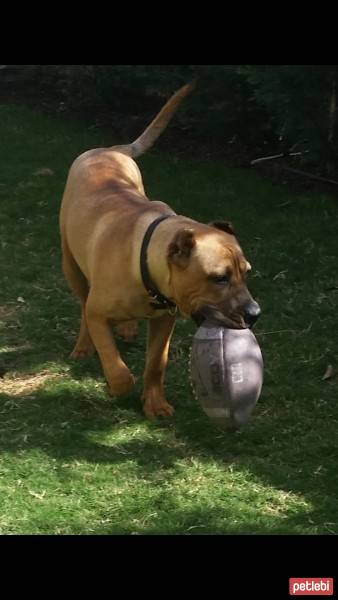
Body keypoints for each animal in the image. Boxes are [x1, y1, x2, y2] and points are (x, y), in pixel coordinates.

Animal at [59, 81, 260, 418]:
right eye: (219, 278)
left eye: (245, 273)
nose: (255, 313)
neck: (144, 262)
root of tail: (111, 150)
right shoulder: (99, 312)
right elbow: (114, 361)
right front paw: (118, 385)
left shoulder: (164, 321)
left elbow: (156, 364)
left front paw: (155, 403)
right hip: (71, 265)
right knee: (83, 306)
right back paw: (85, 345)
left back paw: (127, 326)